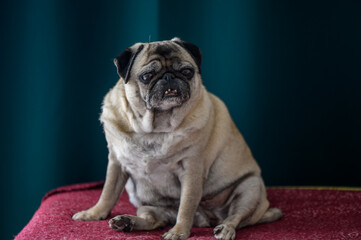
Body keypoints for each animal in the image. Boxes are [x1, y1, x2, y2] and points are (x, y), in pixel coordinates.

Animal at [72, 38, 282, 240]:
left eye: (187, 72)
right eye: (147, 76)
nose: (168, 76)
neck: (154, 129)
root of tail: (206, 219)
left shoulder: (191, 170)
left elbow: (186, 206)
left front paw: (179, 231)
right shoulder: (117, 162)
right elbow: (107, 192)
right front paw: (94, 213)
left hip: (250, 189)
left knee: (235, 217)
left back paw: (225, 229)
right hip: (148, 206)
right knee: (154, 221)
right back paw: (126, 222)